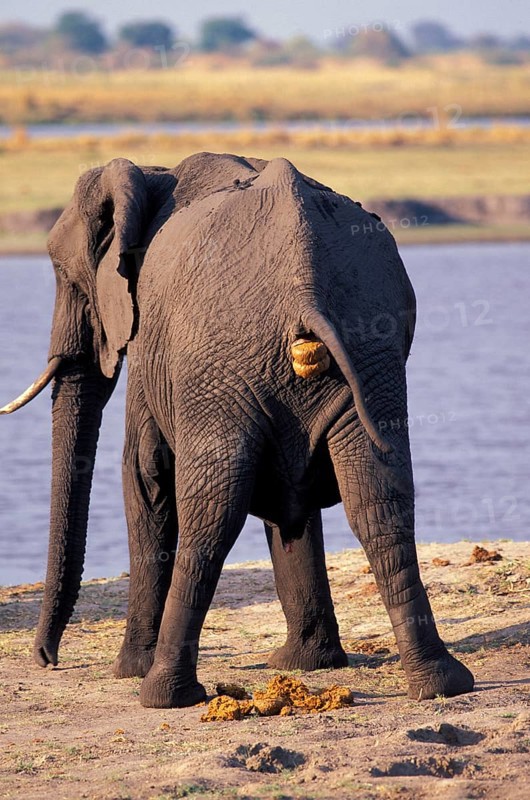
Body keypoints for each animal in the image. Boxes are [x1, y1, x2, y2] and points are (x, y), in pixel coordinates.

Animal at [1, 152, 474, 708]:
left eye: (63, 272)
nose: (46, 659)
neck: (154, 175)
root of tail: (304, 285)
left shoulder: (151, 342)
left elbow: (146, 474)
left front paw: (127, 670)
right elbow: (292, 501)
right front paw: (306, 665)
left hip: (220, 363)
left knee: (211, 514)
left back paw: (163, 693)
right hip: (368, 352)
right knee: (379, 500)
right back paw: (441, 683)